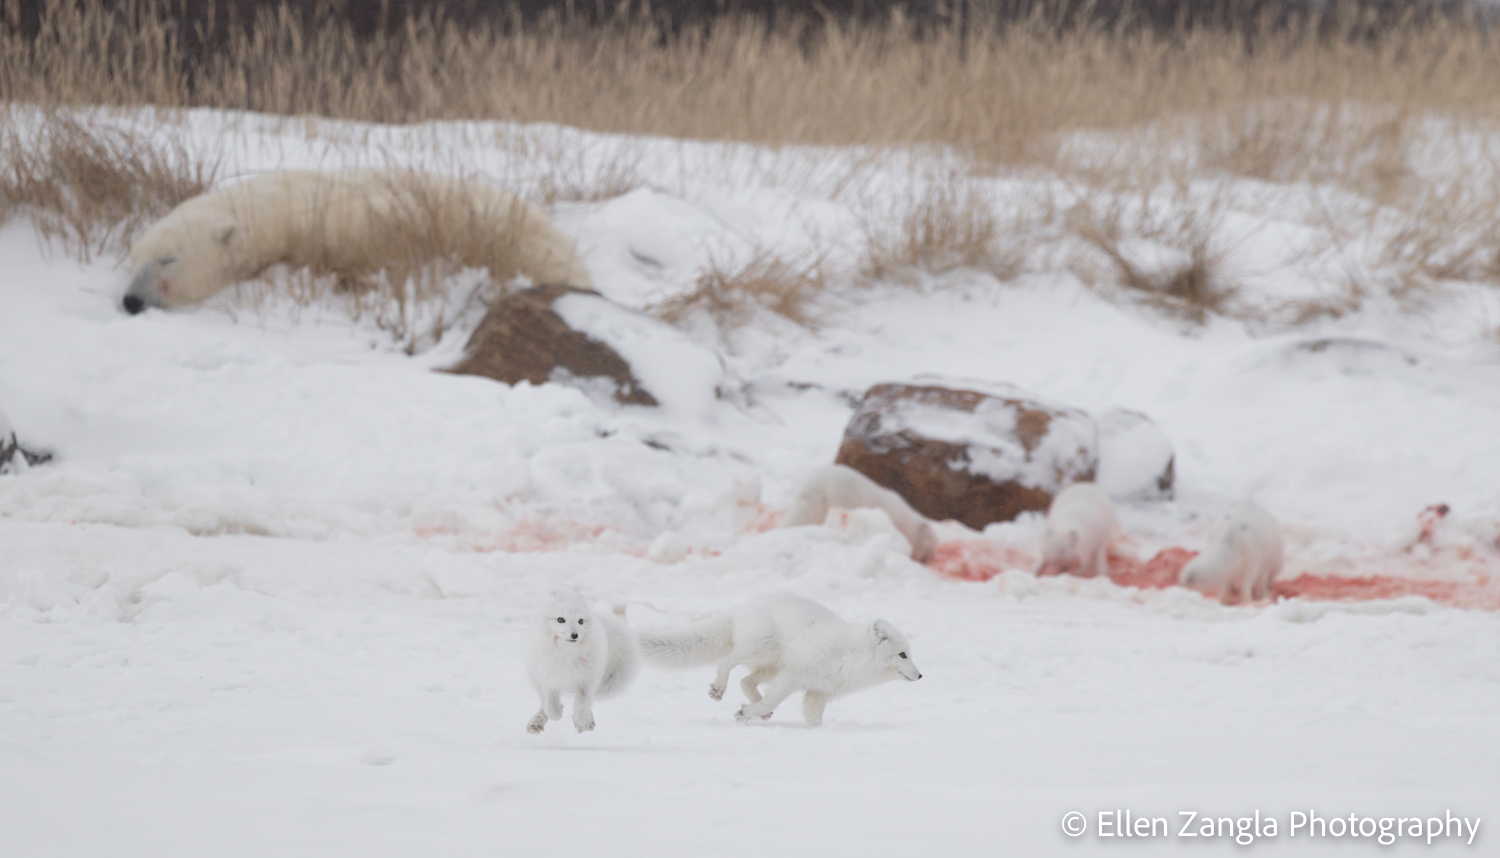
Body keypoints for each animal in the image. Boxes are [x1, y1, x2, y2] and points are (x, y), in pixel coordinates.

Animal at [525, 591, 642, 738]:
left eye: (580, 621)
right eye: (560, 620)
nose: (574, 635)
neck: (567, 653)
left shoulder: (588, 680)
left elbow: (582, 702)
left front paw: (581, 721)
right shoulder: (548, 677)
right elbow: (552, 709)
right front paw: (558, 711)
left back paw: (587, 720)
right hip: (534, 678)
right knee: (543, 702)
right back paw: (536, 722)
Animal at [639, 594, 918, 726]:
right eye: (903, 654)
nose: (920, 675)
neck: (849, 655)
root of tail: (740, 608)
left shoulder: (818, 693)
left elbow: (814, 720)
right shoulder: (793, 676)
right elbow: (773, 699)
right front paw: (745, 714)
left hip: (771, 666)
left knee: (745, 680)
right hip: (763, 650)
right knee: (727, 661)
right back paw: (720, 690)